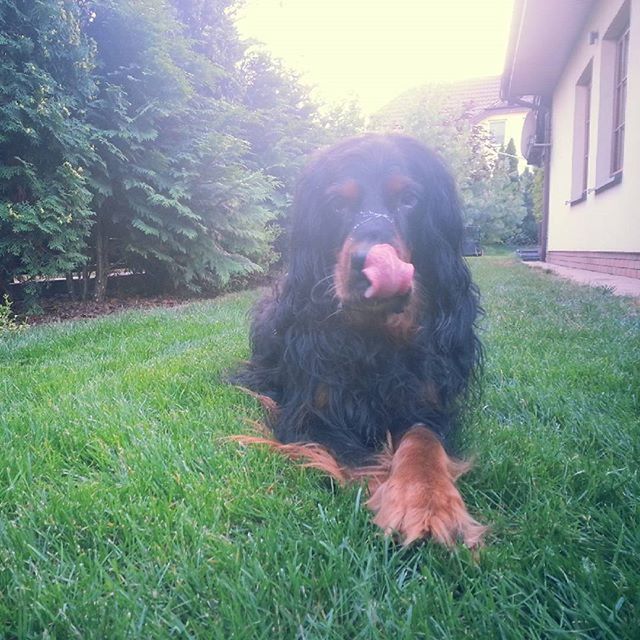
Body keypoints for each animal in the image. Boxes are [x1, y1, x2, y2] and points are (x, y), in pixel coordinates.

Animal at [235, 134, 484, 544]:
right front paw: (396, 494)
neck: (375, 336)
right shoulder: (312, 414)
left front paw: (428, 500)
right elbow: (364, 455)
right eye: (337, 203)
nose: (369, 263)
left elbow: (423, 438)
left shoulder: (428, 403)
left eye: (409, 199)